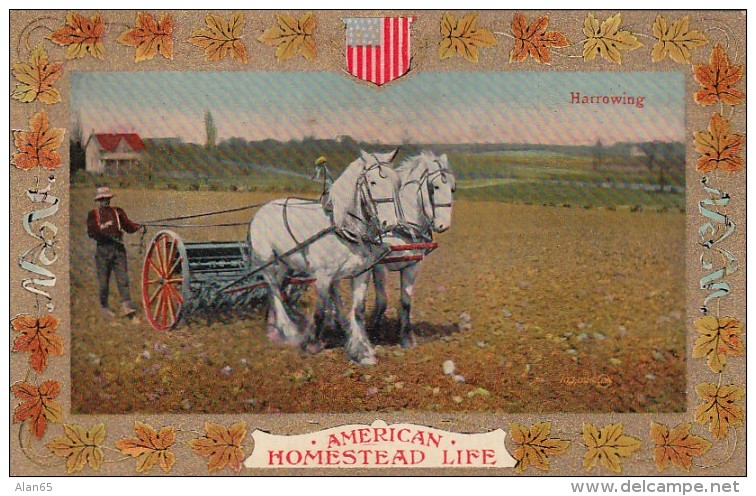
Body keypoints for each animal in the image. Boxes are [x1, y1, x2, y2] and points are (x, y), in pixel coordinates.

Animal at [248, 150, 402, 364]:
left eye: (398, 183)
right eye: (372, 182)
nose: (391, 223)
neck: (342, 228)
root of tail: (262, 211)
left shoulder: (361, 274)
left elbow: (358, 310)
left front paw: (362, 350)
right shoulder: (323, 276)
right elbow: (320, 310)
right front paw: (312, 344)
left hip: (286, 264)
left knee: (277, 289)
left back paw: (274, 328)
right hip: (267, 262)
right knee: (273, 289)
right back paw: (288, 330)